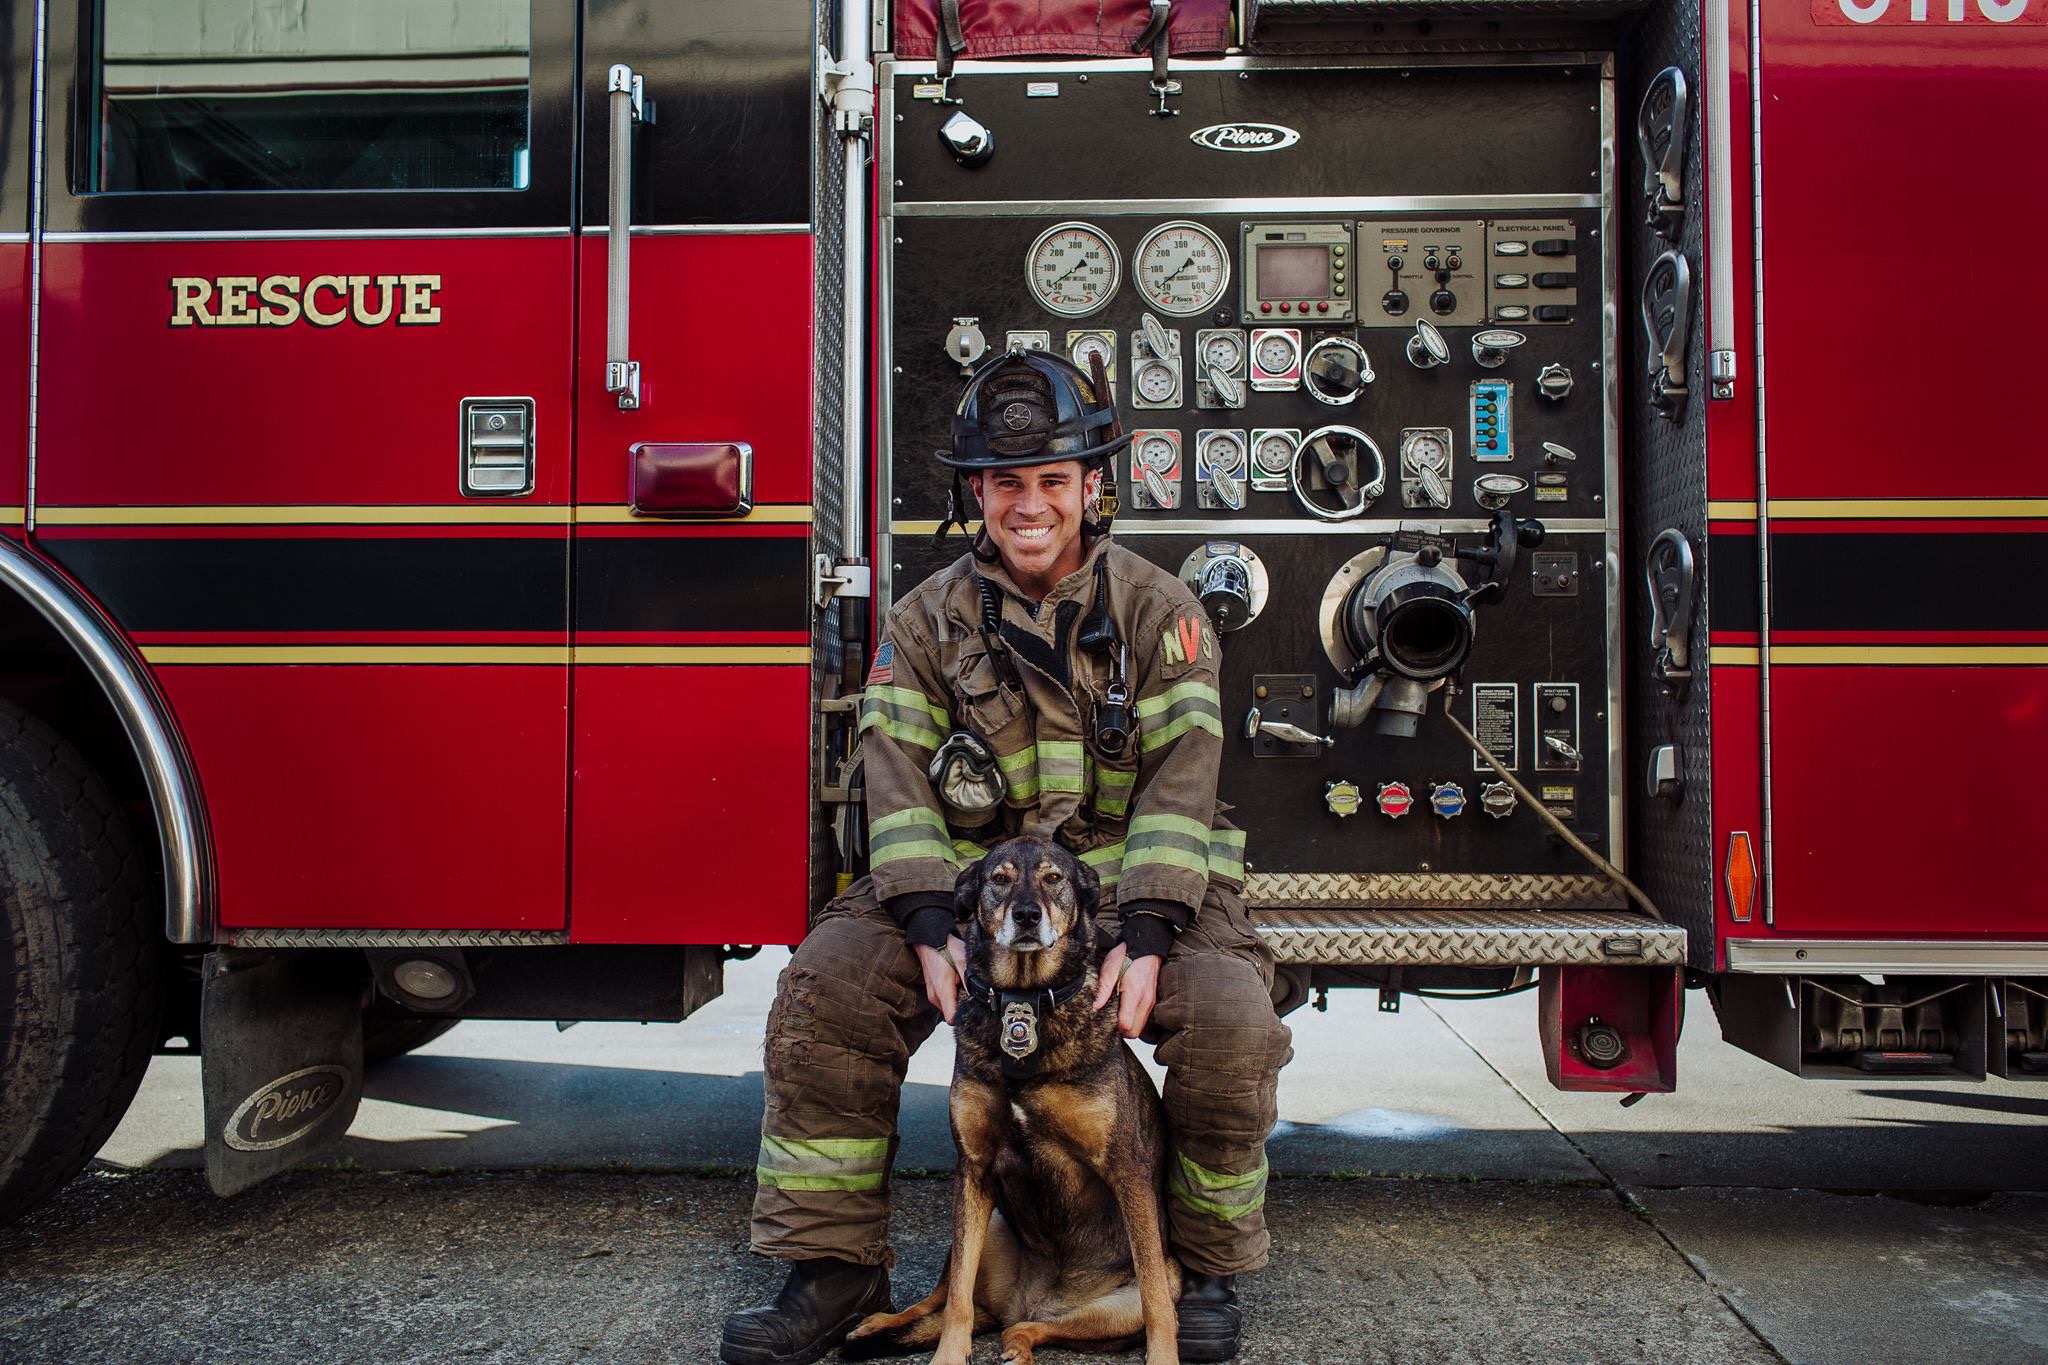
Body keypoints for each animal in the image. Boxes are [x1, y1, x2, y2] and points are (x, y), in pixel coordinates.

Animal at [843, 839, 1171, 1358]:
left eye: (1054, 878)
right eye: (999, 879)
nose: (1027, 915)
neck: (1025, 994)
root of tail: (1024, 1303)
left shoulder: (1127, 1171)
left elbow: (1157, 1298)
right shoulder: (974, 1169)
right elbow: (956, 1299)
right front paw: (947, 1357)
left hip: (1115, 1302)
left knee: (1032, 1327)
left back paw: (1020, 1345)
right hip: (985, 1219)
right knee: (945, 1297)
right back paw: (879, 1321)